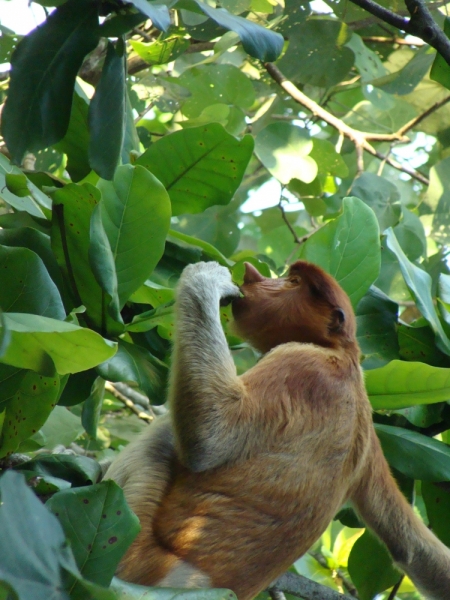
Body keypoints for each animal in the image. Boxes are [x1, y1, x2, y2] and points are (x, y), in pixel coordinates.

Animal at [106, 260, 450, 596]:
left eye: (293, 282)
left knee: (161, 440)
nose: (252, 276)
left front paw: (205, 278)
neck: (340, 352)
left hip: (136, 549)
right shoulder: (368, 438)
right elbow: (411, 546)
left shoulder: (299, 365)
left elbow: (209, 437)